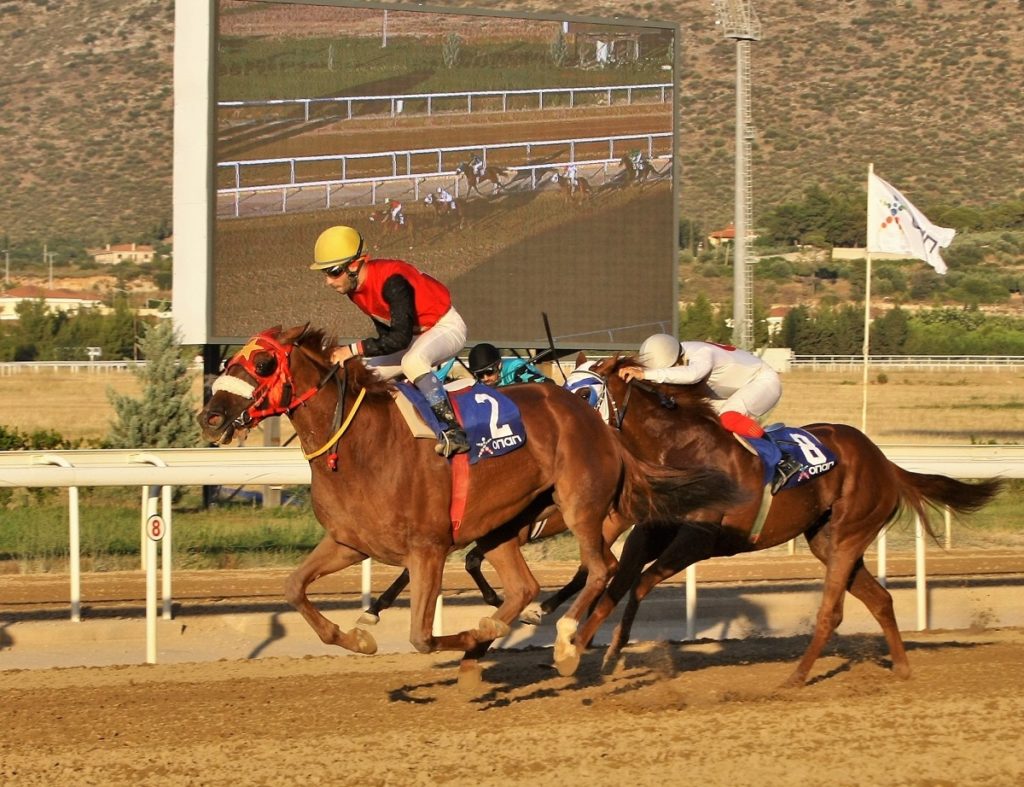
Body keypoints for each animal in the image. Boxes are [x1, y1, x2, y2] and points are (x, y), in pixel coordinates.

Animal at [195, 325, 741, 679]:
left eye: (262, 363)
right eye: (229, 361)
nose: (210, 417)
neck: (358, 445)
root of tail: (598, 423)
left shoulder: (428, 548)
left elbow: (421, 635)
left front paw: (460, 638)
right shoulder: (349, 543)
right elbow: (294, 589)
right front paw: (358, 634)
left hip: (581, 504)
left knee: (601, 568)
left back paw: (563, 639)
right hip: (507, 524)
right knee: (526, 585)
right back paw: (510, 623)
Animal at [561, 354, 999, 679]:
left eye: (583, 392)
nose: (567, 430)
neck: (682, 451)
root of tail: (886, 464)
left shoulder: (699, 540)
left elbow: (639, 584)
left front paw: (586, 649)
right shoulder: (652, 531)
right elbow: (620, 581)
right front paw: (581, 647)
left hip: (849, 533)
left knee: (832, 612)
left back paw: (795, 678)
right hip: (825, 538)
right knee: (880, 599)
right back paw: (903, 668)